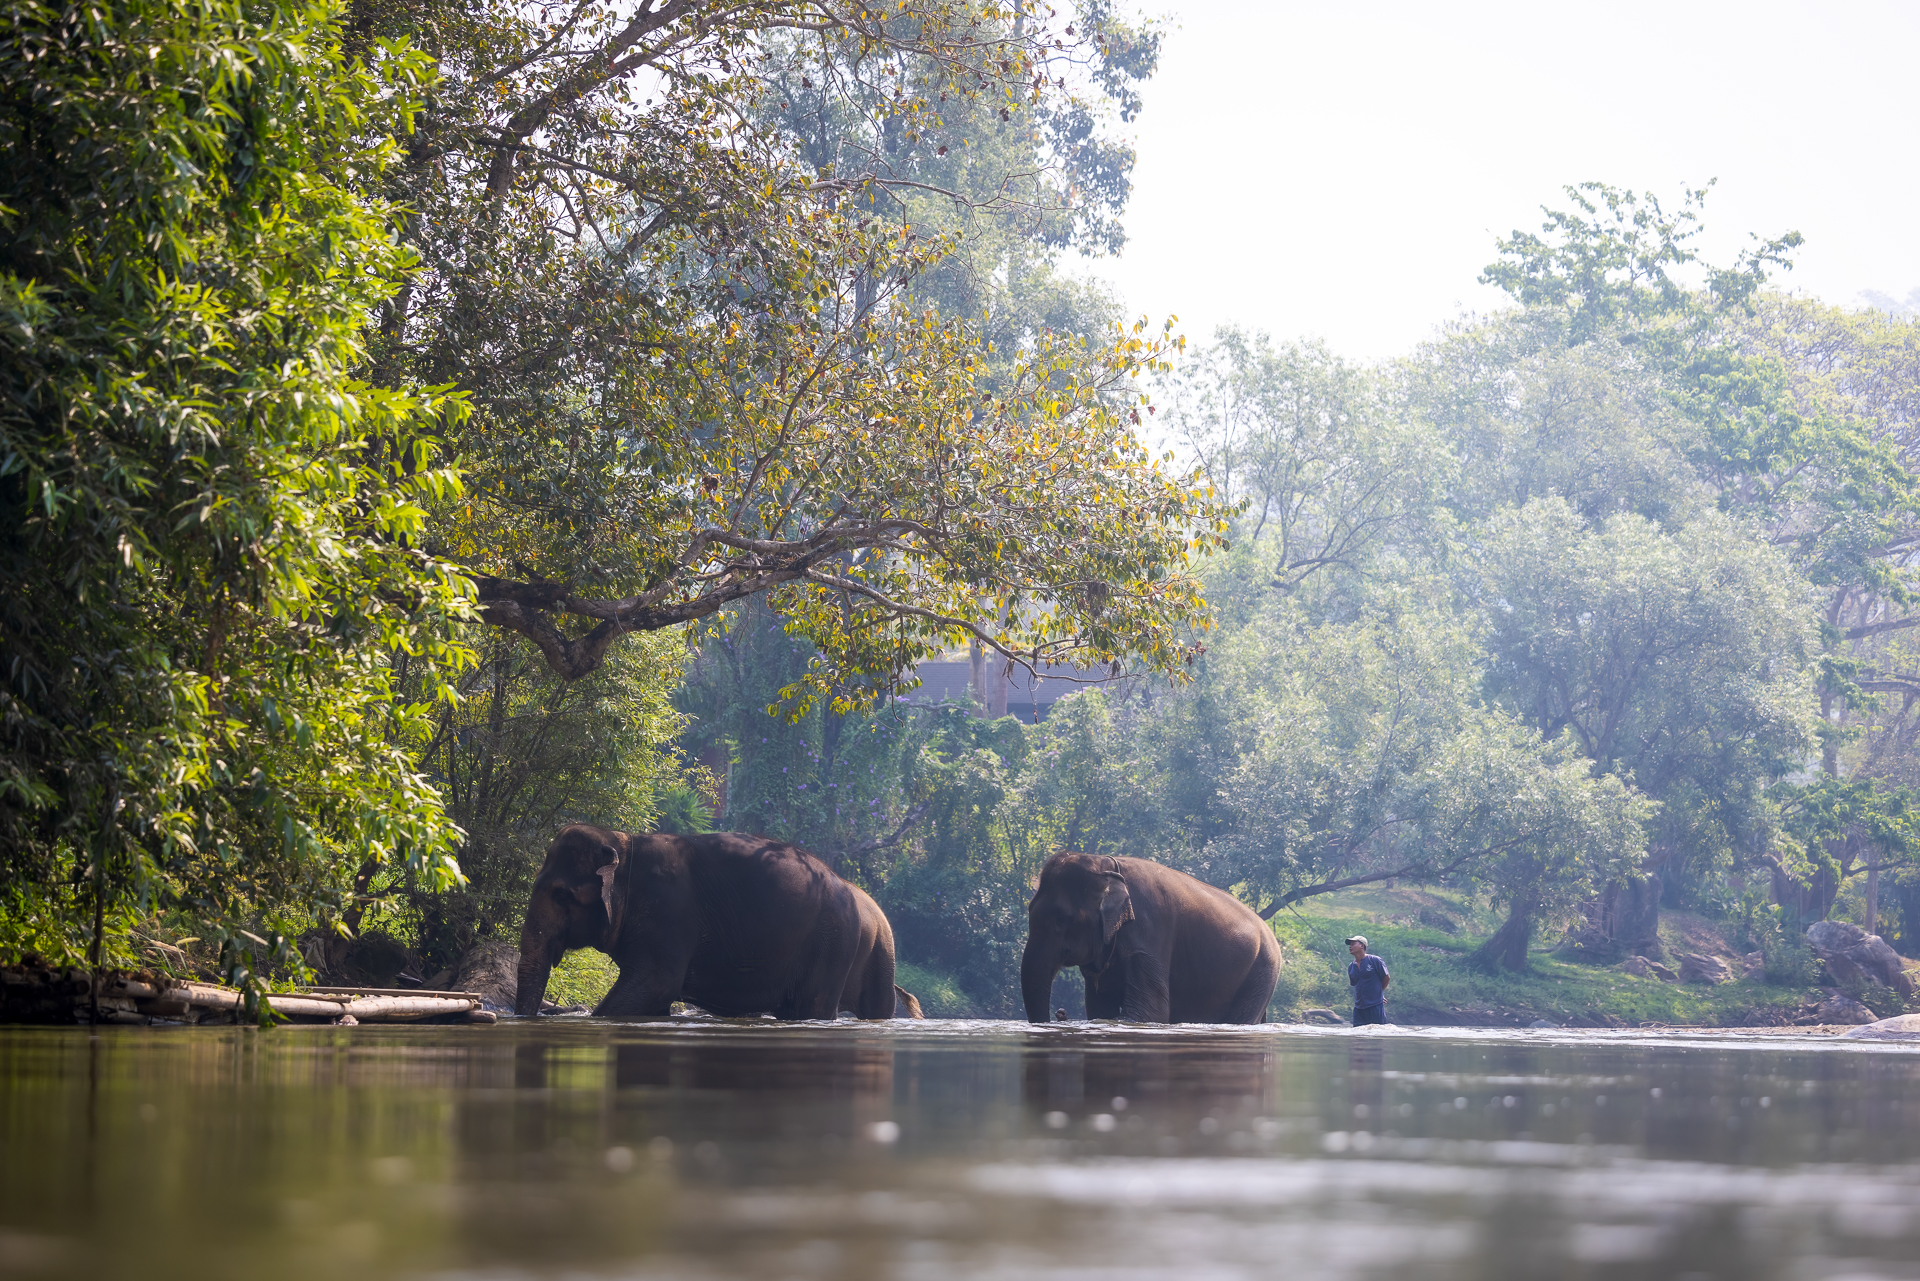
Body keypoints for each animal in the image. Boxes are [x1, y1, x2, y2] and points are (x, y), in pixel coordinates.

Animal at [514, 833, 894, 1021]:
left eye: (561, 894)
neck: (624, 841)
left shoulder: (667, 910)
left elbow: (657, 984)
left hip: (834, 943)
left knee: (811, 1007)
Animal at [1013, 856, 1282, 1029]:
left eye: (1061, 919)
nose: (1060, 1012)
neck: (1107, 864)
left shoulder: (1150, 930)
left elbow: (1150, 1012)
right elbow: (1099, 1007)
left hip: (1263, 970)